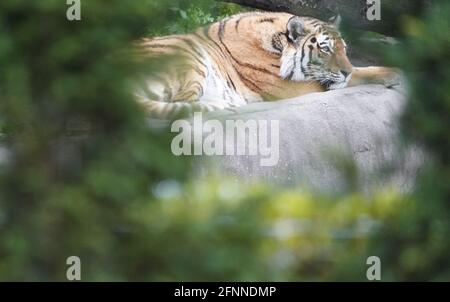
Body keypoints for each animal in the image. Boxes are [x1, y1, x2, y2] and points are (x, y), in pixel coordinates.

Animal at [135, 11, 400, 120]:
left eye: (344, 48)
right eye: (325, 49)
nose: (345, 70)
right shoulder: (293, 87)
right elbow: (357, 75)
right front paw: (394, 72)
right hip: (186, 55)